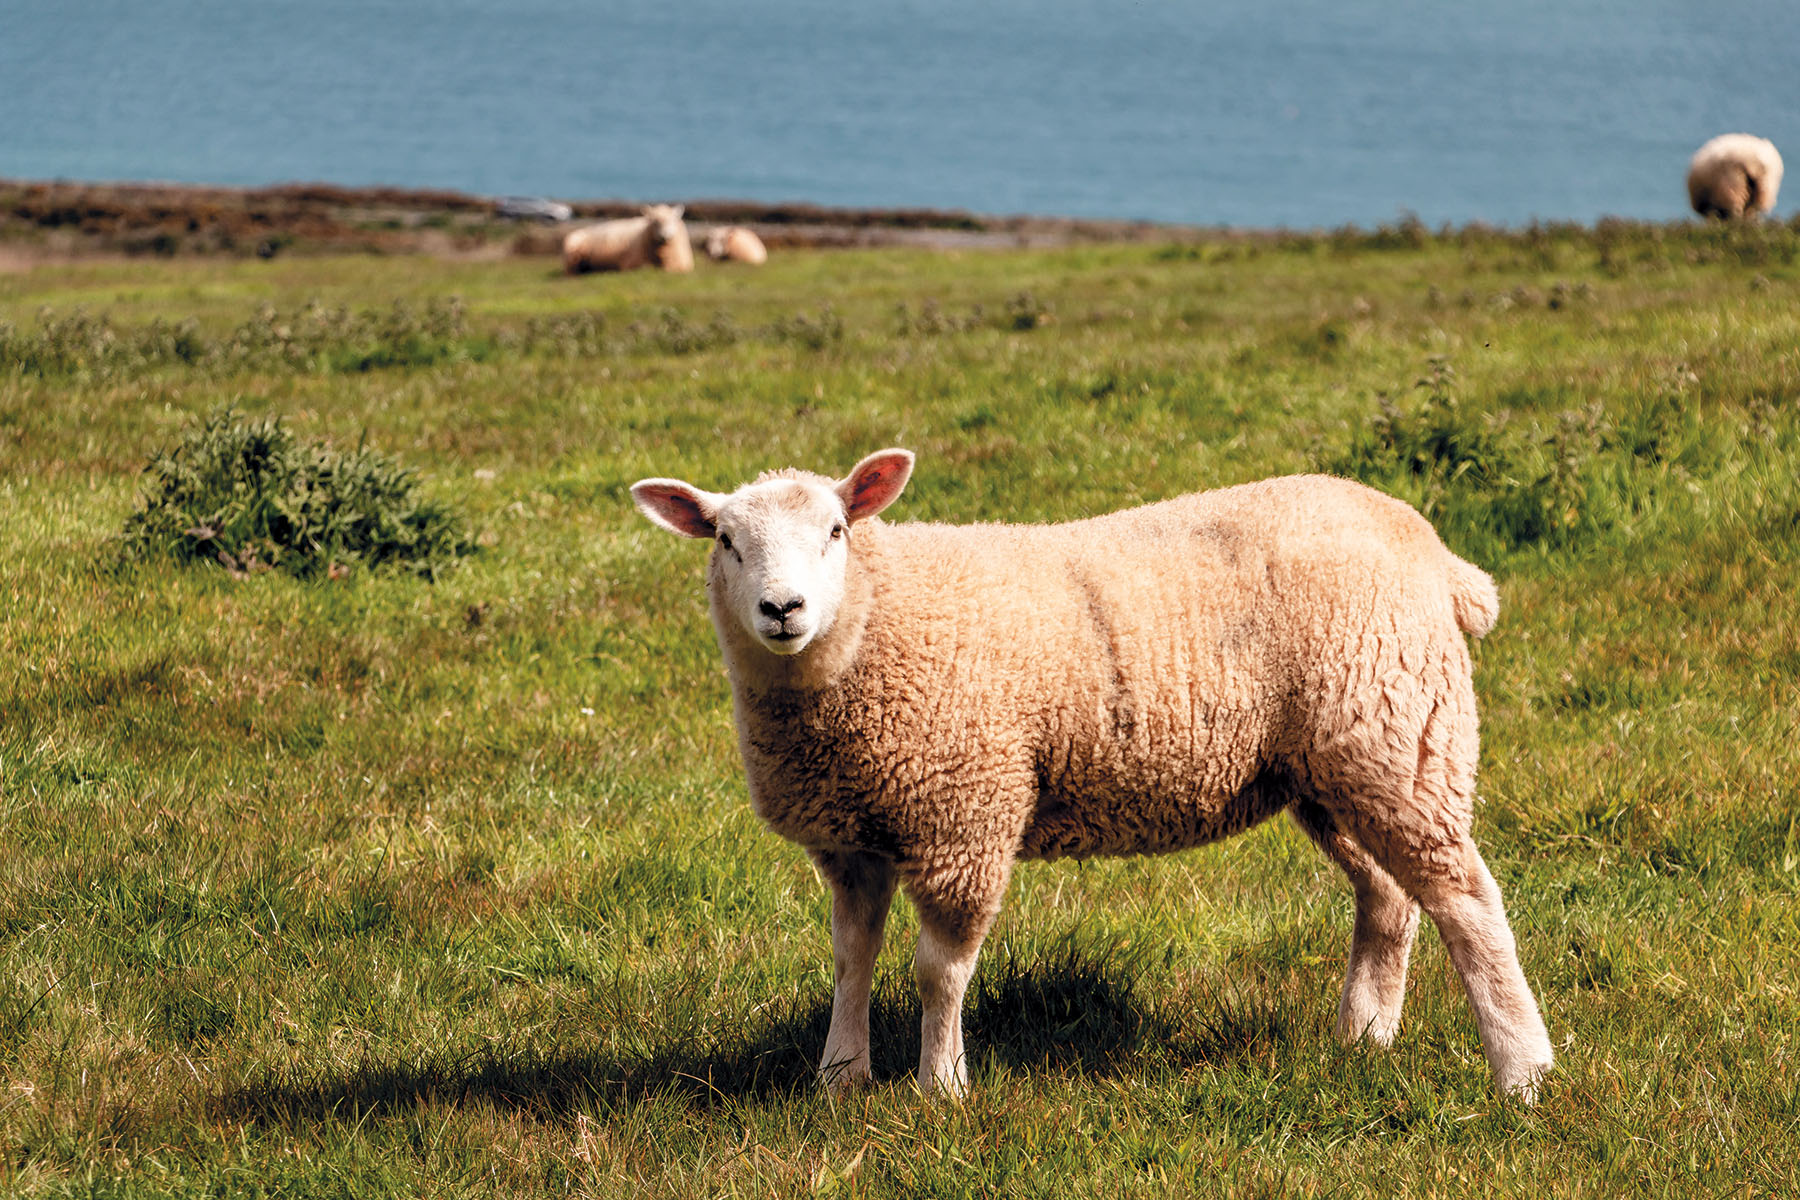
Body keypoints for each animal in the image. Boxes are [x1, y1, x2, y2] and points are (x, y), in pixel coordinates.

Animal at [561, 204, 694, 275]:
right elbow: (645, 268)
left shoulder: (682, 266)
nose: (665, 236)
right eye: (654, 221)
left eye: (673, 220)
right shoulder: (631, 265)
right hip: (572, 255)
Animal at [637, 453, 1562, 1108]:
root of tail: (1433, 551)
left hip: (1399, 733)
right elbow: (849, 957)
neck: (872, 627)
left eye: (836, 530)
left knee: (1466, 901)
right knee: (1388, 896)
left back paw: (1523, 1072)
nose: (782, 610)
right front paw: (840, 1077)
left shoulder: (965, 814)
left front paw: (941, 1087)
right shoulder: (851, 834)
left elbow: (939, 969)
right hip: (1329, 766)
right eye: (726, 541)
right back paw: (1364, 1037)